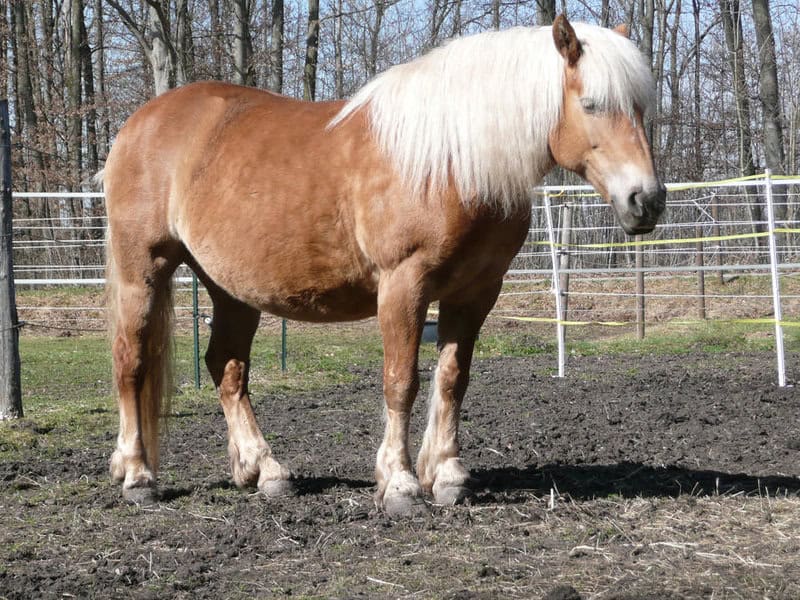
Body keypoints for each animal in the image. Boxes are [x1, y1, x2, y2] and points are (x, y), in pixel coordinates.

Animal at [101, 15, 665, 516]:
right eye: (591, 104)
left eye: (641, 108)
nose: (646, 201)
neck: (451, 161)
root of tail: (140, 123)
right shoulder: (403, 285)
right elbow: (402, 381)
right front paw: (400, 484)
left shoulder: (475, 292)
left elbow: (452, 379)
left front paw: (447, 475)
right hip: (143, 269)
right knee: (131, 362)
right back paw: (137, 476)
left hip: (231, 290)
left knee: (226, 368)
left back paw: (264, 471)